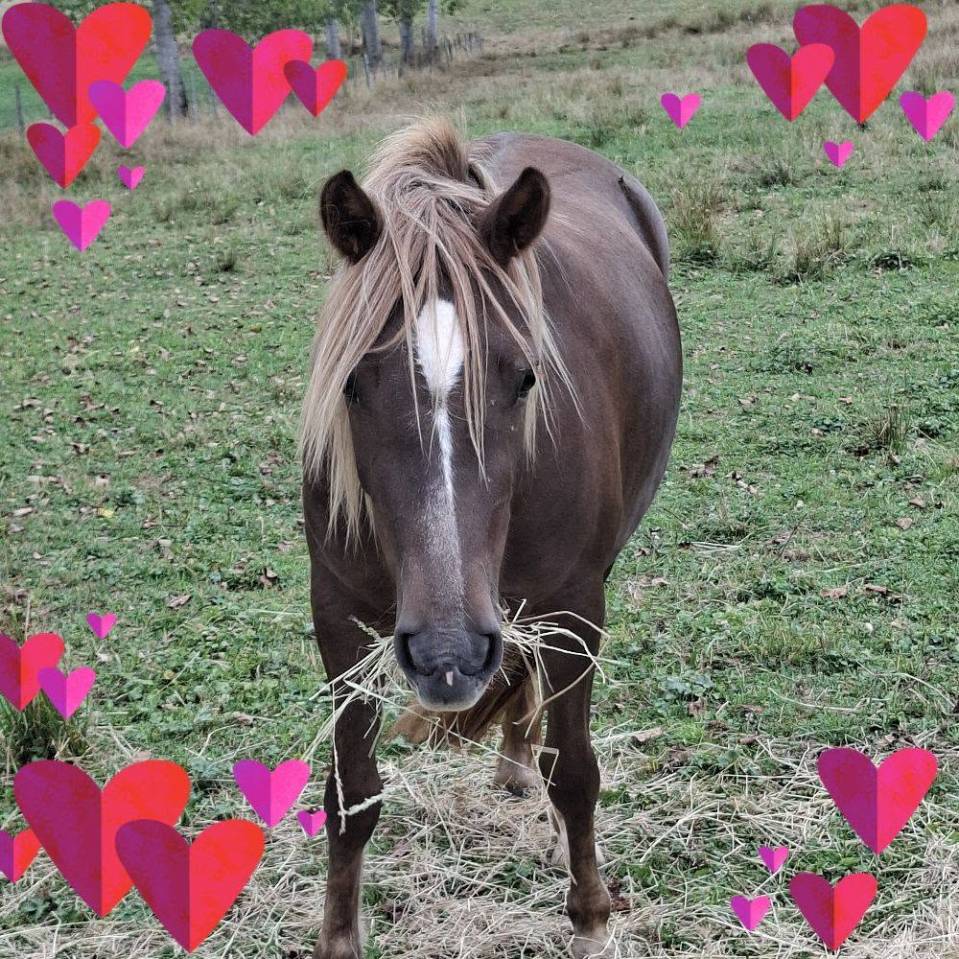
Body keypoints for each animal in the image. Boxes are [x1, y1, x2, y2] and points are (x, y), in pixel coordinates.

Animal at [301, 118, 681, 959]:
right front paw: (339, 936)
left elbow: (573, 771)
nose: (446, 653)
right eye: (352, 383)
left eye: (524, 378)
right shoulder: (337, 614)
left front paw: (591, 915)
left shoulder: (574, 606)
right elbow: (351, 789)